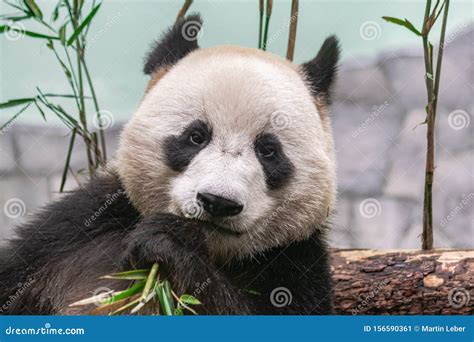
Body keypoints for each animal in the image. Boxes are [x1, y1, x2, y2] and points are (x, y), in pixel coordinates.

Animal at [0, 14, 340, 316]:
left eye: (268, 151)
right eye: (196, 136)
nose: (218, 202)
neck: (213, 249)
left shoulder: (294, 261)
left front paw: (168, 244)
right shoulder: (71, 230)